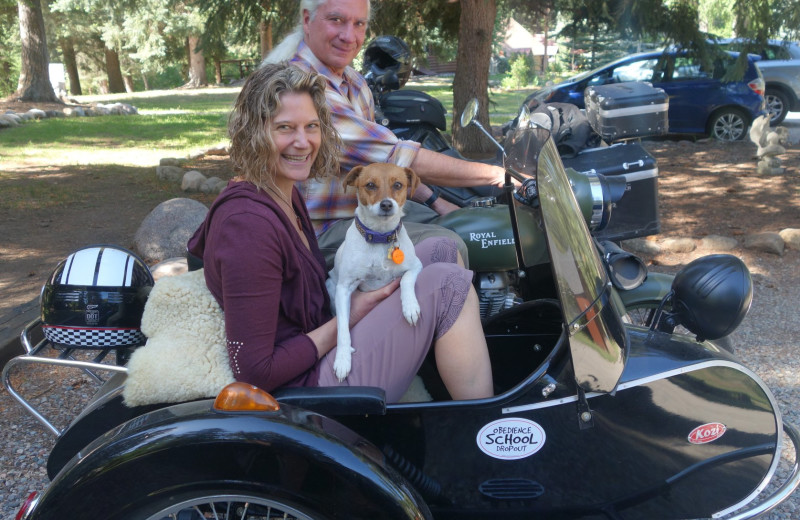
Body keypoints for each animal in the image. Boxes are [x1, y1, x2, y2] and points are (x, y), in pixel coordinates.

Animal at [326, 162, 424, 382]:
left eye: (398, 185)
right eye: (370, 185)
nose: (386, 204)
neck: (380, 237)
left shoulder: (416, 265)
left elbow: (406, 280)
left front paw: (410, 306)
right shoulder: (344, 288)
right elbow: (342, 329)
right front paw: (342, 359)